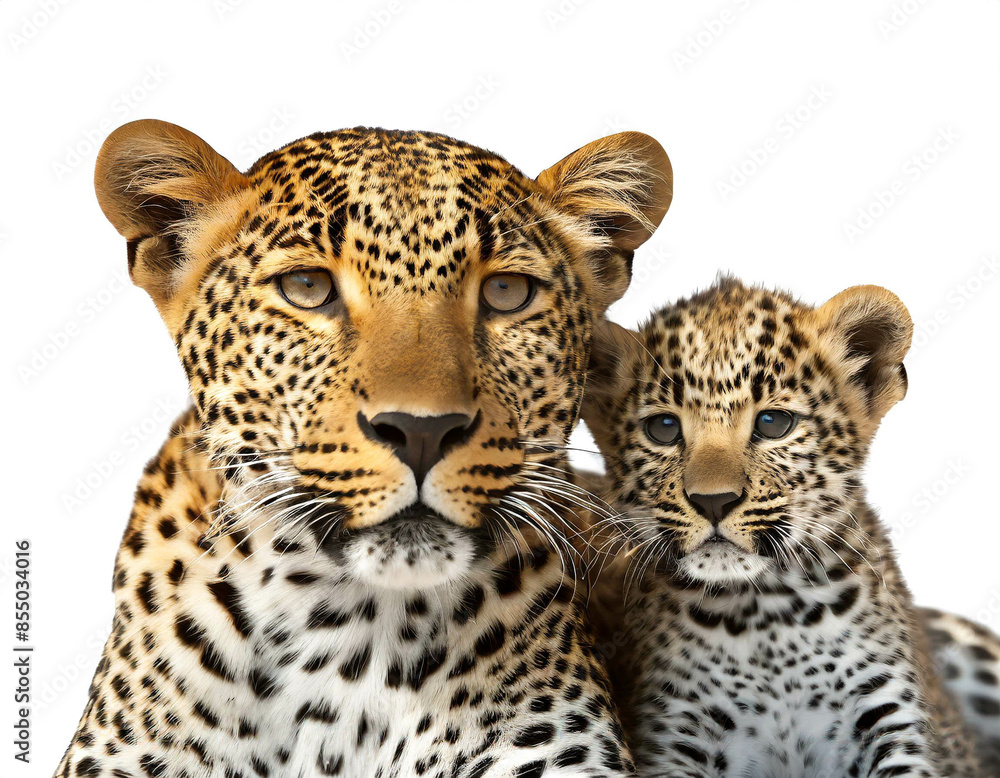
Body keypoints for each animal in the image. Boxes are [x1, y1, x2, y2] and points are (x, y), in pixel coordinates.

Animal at [579, 277, 990, 776]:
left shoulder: (899, 723)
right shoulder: (675, 734)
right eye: (662, 428)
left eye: (774, 423)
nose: (713, 501)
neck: (767, 615)